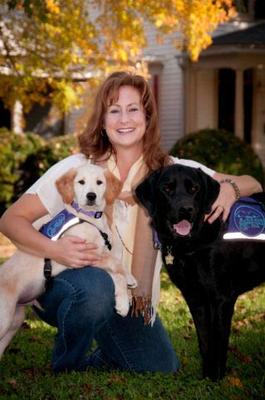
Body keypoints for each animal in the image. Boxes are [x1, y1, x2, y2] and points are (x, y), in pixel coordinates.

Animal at [135, 165, 262, 382]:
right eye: (167, 189)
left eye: (194, 189)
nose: (186, 209)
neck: (190, 244)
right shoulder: (195, 297)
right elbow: (204, 341)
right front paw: (206, 378)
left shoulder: (221, 298)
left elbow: (218, 343)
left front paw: (217, 379)